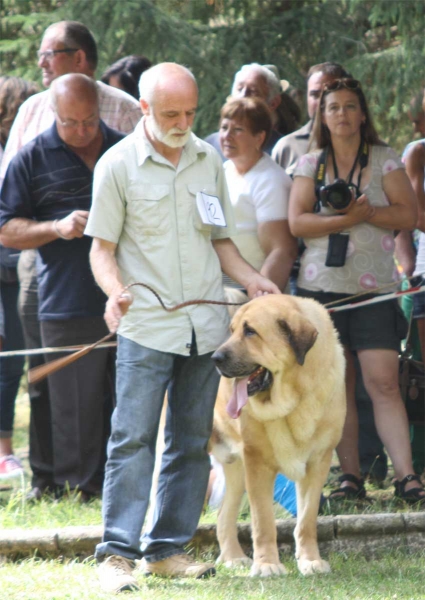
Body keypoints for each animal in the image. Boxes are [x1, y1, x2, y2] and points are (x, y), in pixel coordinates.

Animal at [209, 296, 344, 576]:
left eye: (250, 331)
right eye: (232, 331)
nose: (215, 358)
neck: (296, 397)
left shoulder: (318, 463)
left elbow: (307, 520)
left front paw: (310, 561)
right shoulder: (258, 464)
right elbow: (263, 522)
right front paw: (267, 565)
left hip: (236, 471)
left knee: (224, 514)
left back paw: (232, 558)